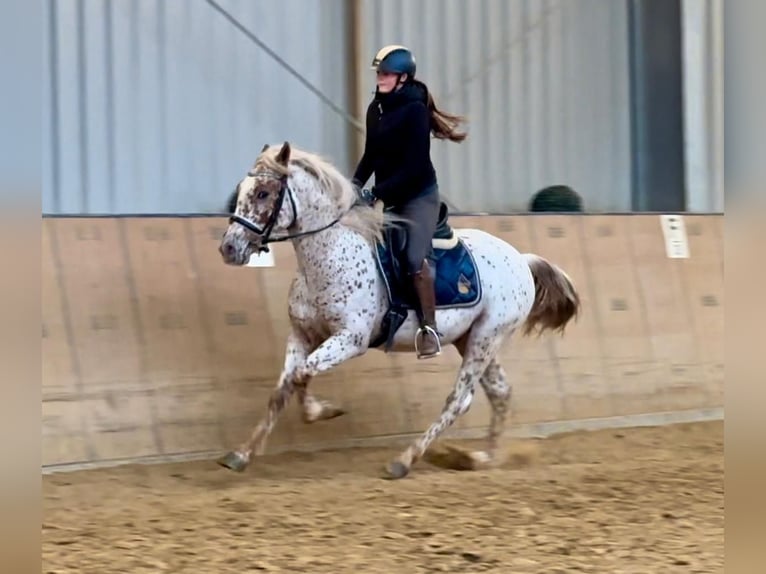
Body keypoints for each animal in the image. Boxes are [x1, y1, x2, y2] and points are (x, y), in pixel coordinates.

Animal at [216, 142, 584, 480]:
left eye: (263, 193)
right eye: (243, 190)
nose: (229, 248)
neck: (331, 254)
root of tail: (520, 259)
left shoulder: (350, 340)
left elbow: (301, 375)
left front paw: (323, 412)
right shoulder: (302, 334)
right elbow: (282, 390)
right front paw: (241, 455)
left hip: (486, 338)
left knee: (459, 400)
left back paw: (404, 460)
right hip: (472, 339)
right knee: (500, 393)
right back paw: (482, 459)